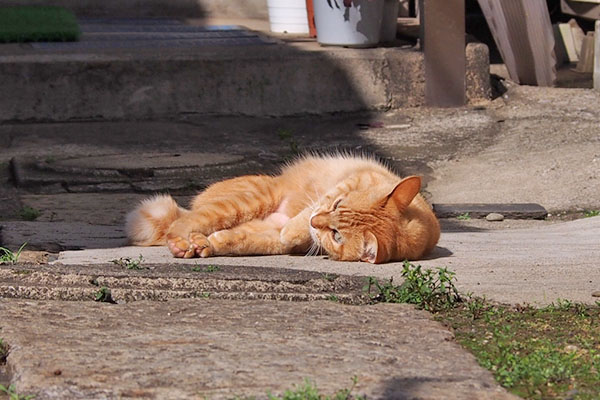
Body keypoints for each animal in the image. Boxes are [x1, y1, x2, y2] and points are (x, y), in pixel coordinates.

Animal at [126, 153, 438, 262]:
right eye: (338, 204)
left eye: (337, 235)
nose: (315, 223)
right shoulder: (343, 185)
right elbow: (304, 215)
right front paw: (298, 226)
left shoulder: (273, 236)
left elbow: (244, 240)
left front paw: (216, 244)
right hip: (248, 200)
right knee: (183, 222)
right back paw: (182, 243)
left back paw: (200, 245)